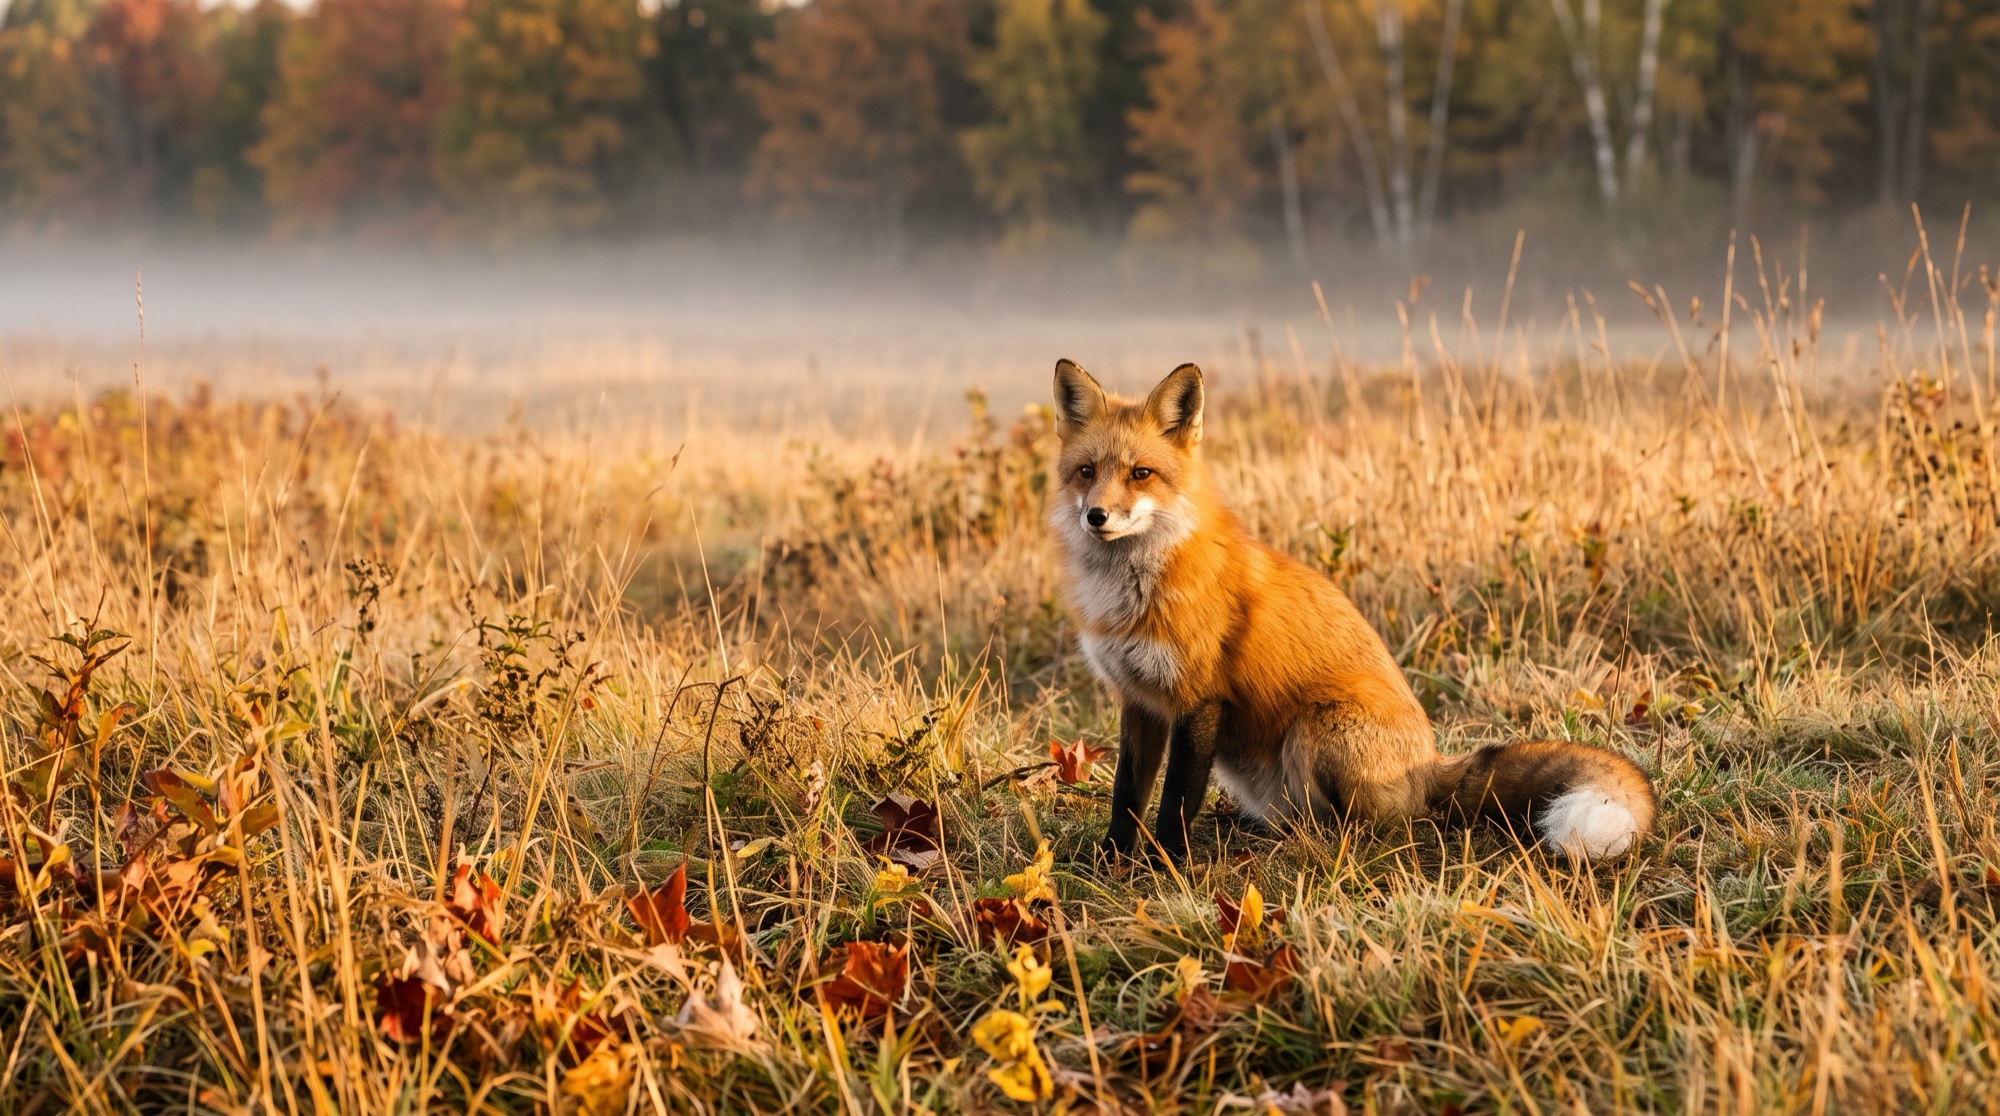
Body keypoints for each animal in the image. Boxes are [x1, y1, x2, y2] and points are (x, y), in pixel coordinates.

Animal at [1048, 358, 1655, 863]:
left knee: (1368, 826)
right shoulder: (1138, 701)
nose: (1096, 516)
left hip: (1314, 727)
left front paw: (1167, 863)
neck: (1131, 593)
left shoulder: (1199, 699)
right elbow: (1128, 793)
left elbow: (1175, 797)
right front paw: (1110, 860)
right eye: (1086, 472)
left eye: (1140, 474)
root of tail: (1429, 765)